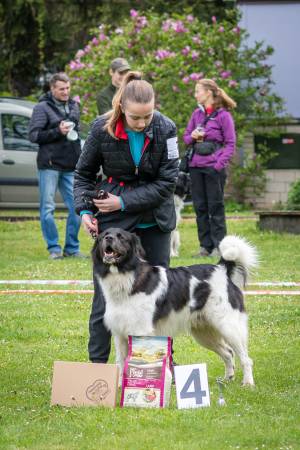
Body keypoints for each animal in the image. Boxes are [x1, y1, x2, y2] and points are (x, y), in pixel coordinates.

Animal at [92, 229, 256, 386]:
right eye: (104, 235)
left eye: (121, 237)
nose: (108, 238)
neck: (128, 279)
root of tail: (221, 269)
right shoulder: (119, 335)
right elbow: (121, 363)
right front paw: (120, 387)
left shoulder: (141, 332)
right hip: (204, 333)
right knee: (228, 353)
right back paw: (228, 379)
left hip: (228, 327)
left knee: (245, 358)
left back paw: (248, 383)